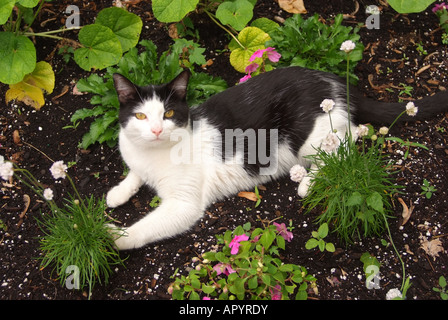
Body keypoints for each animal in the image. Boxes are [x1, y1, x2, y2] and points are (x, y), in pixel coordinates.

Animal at [107, 67, 446, 250]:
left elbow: (146, 226)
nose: (156, 130)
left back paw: (309, 182)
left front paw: (114, 239)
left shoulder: (183, 205)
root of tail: (336, 82)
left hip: (310, 138)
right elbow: (134, 172)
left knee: (349, 140)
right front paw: (118, 192)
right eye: (140, 116)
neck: (153, 153)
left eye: (169, 114)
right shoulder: (136, 158)